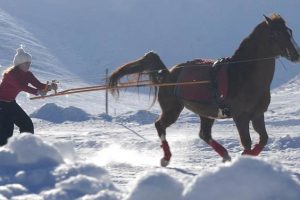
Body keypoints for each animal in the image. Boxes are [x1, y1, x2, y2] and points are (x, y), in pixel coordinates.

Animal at [108, 14, 300, 166]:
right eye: (275, 33)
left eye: (288, 31)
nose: (295, 55)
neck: (243, 74)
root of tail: (167, 73)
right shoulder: (241, 117)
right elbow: (247, 142)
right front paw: (244, 158)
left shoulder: (258, 115)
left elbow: (263, 140)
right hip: (173, 109)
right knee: (160, 125)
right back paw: (166, 158)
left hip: (206, 113)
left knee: (204, 134)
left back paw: (225, 156)